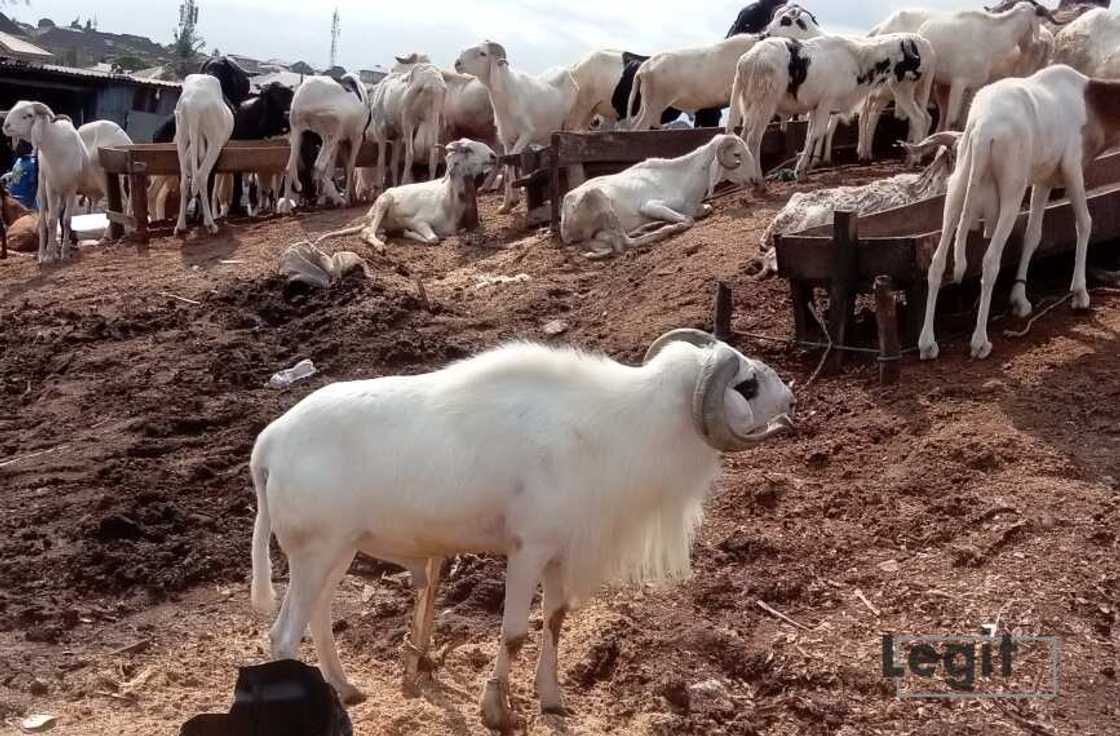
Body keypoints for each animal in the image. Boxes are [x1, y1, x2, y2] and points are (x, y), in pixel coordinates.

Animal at [2, 100, 132, 261]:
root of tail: (124, 138)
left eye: (28, 115)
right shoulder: (51, 187)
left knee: (121, 206)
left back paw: (106, 237)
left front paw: (63, 253)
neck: (55, 146)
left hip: (107, 180)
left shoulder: (71, 189)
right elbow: (52, 221)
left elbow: (66, 220)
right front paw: (50, 254)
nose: (6, 126)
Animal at [252, 329, 797, 730]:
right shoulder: (527, 551)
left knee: (318, 619)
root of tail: (270, 443)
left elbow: (554, 621)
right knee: (283, 635)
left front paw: (551, 698)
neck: (616, 428)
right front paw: (498, 712)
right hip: (316, 554)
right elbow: (513, 633)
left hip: (336, 553)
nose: (791, 399)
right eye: (747, 385)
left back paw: (346, 690)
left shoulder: (558, 554)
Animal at [311, 137, 495, 253]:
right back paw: (381, 244)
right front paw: (407, 232)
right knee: (366, 232)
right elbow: (433, 239)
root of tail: (369, 215)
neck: (449, 202)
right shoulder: (419, 221)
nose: (493, 155)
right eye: (467, 149)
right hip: (383, 203)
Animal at [454, 40, 577, 212]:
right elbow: (509, 166)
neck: (507, 97)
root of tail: (566, 72)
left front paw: (513, 200)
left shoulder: (526, 135)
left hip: (571, 123)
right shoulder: (506, 139)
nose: (457, 63)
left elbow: (511, 165)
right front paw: (508, 204)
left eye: (483, 53)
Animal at [918, 66, 1120, 358]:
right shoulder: (1072, 171)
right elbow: (1085, 223)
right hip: (1011, 195)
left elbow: (1033, 235)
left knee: (937, 261)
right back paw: (980, 342)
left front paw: (1019, 300)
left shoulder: (1044, 181)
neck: (1091, 100)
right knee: (990, 261)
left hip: (957, 192)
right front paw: (1080, 294)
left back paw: (927, 343)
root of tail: (983, 129)